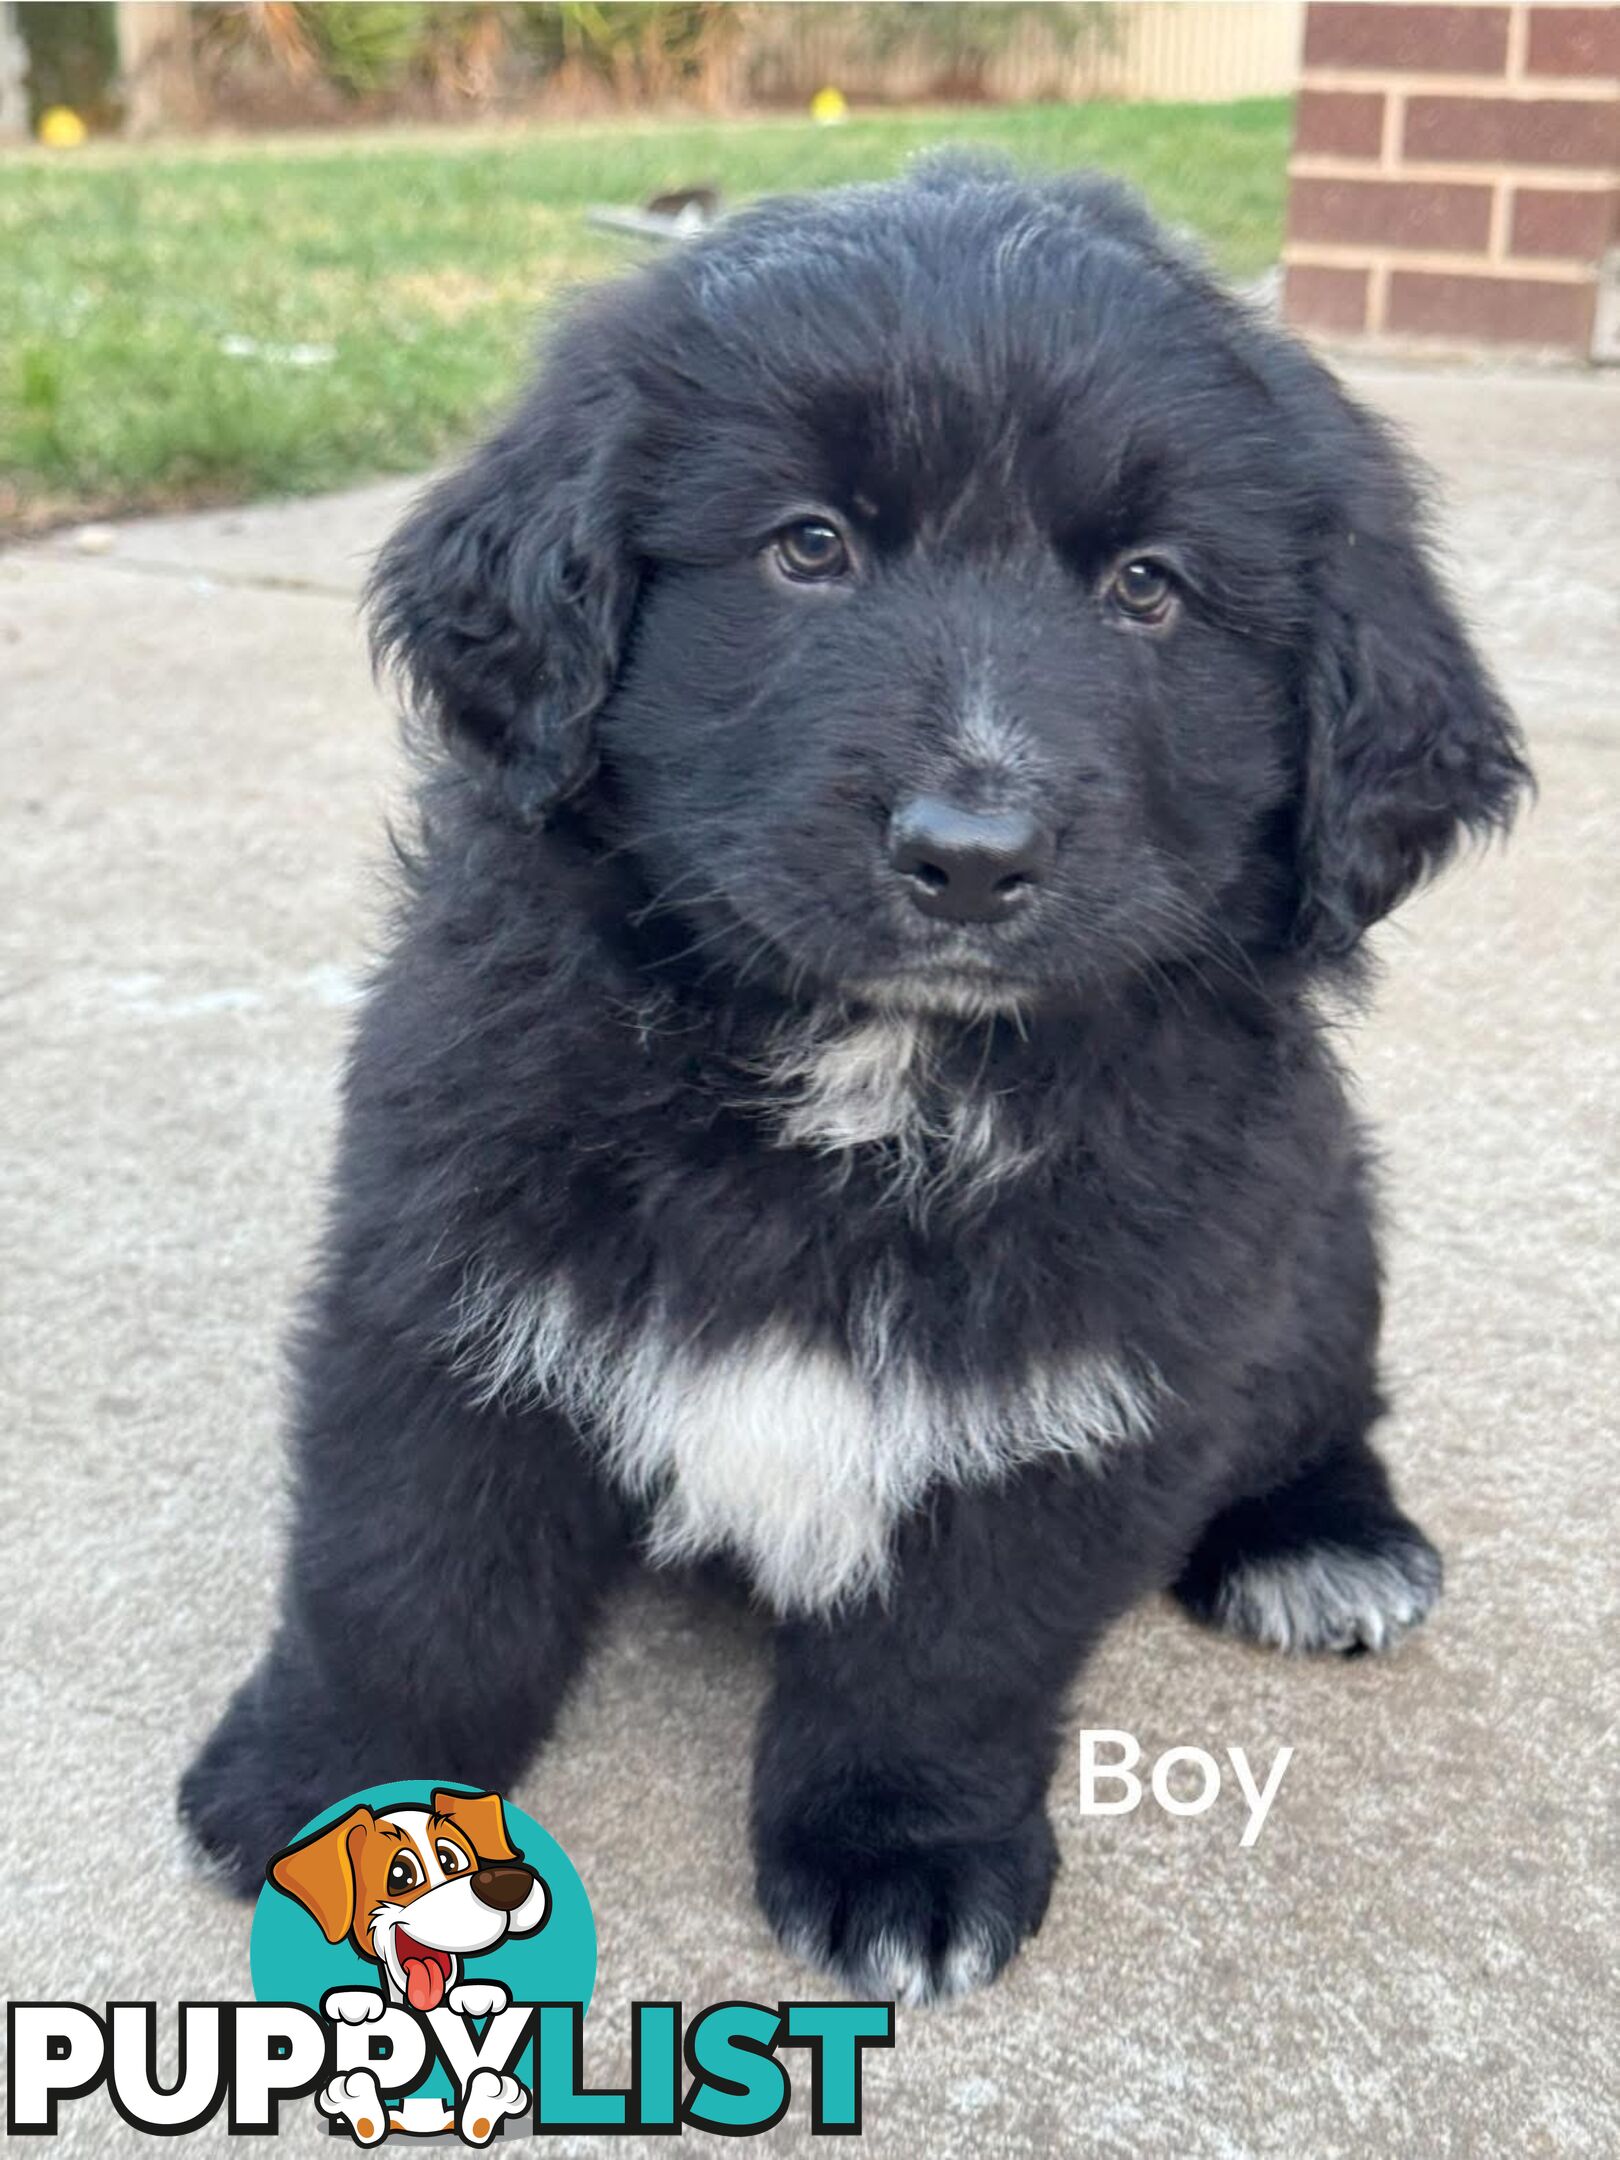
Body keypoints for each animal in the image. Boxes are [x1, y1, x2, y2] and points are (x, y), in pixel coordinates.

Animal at [183, 164, 1529, 2004]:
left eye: (1151, 590)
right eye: (808, 547)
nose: (972, 854)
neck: (870, 1076)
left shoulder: (1089, 1379)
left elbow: (947, 1655)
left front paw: (905, 1854)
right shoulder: (450, 1275)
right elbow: (410, 1567)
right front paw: (334, 1794)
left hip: (1318, 1241)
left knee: (1329, 1405)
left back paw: (1322, 1536)